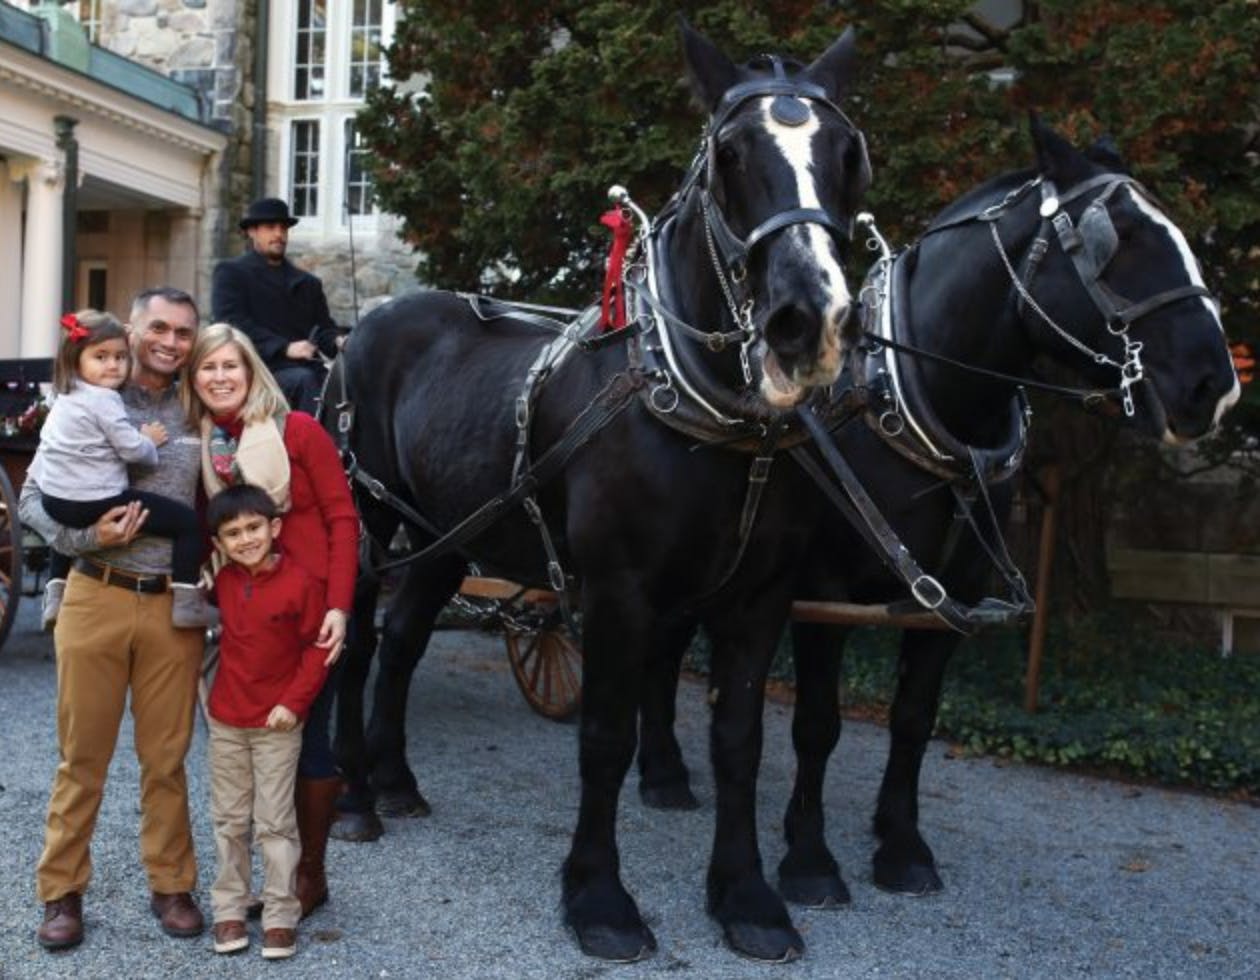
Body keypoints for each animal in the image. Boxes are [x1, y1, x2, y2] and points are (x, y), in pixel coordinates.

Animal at [327, 23, 872, 963]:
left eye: (847, 154)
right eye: (730, 153)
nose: (810, 320)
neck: (704, 411)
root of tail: (362, 325)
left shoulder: (761, 596)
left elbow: (739, 741)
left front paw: (748, 897)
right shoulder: (621, 592)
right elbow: (607, 737)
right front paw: (599, 899)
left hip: (446, 534)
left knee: (401, 643)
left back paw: (393, 778)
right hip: (370, 521)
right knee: (360, 645)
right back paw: (356, 797)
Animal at [634, 117, 1241, 909]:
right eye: (1121, 238)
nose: (1215, 387)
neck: (911, 396)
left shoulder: (951, 596)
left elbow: (914, 719)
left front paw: (900, 844)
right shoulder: (823, 593)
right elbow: (818, 724)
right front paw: (810, 858)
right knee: (661, 648)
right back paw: (662, 771)